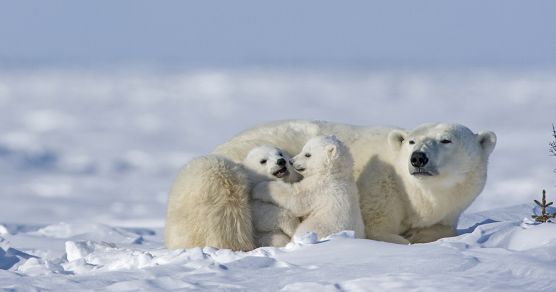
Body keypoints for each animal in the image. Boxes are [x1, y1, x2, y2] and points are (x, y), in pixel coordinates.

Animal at [164, 120, 496, 250]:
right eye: (412, 142)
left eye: (446, 140)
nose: (418, 159)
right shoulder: (379, 186)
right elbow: (379, 227)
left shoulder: (447, 211)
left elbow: (439, 229)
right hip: (215, 183)